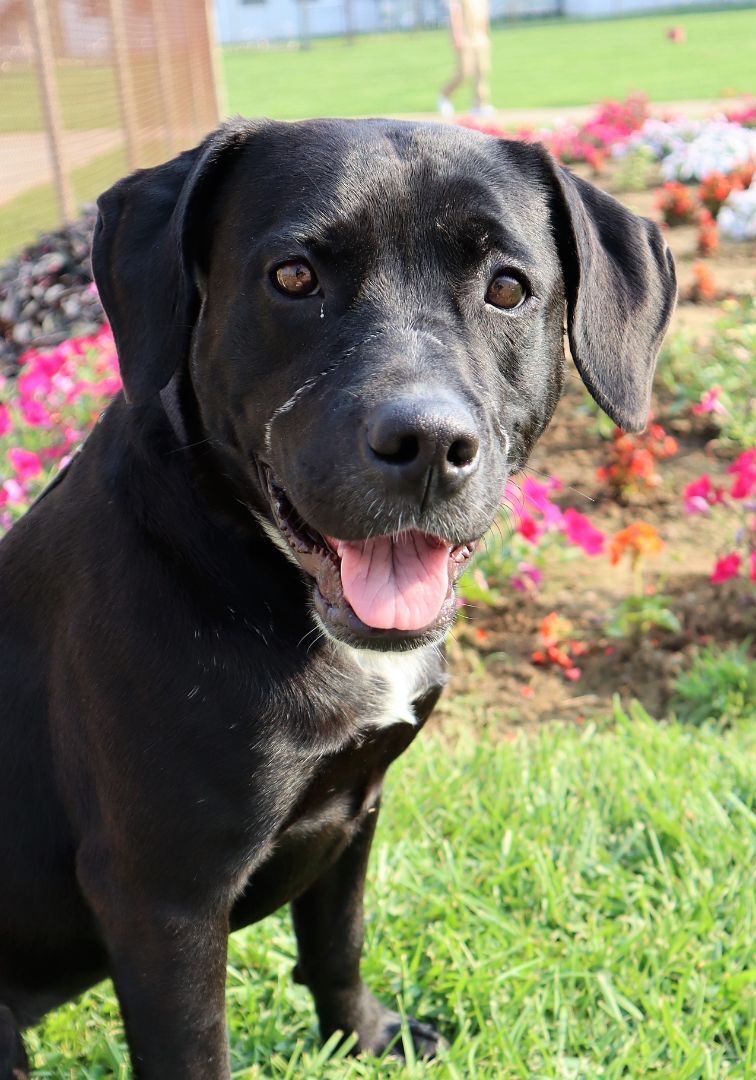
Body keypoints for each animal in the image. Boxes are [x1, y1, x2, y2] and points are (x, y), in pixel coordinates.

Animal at [0, 113, 673, 1075]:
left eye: (508, 288)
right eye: (293, 277)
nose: (428, 444)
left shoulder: (359, 800)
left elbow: (337, 942)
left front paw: (365, 1037)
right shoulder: (161, 895)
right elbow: (194, 1050)